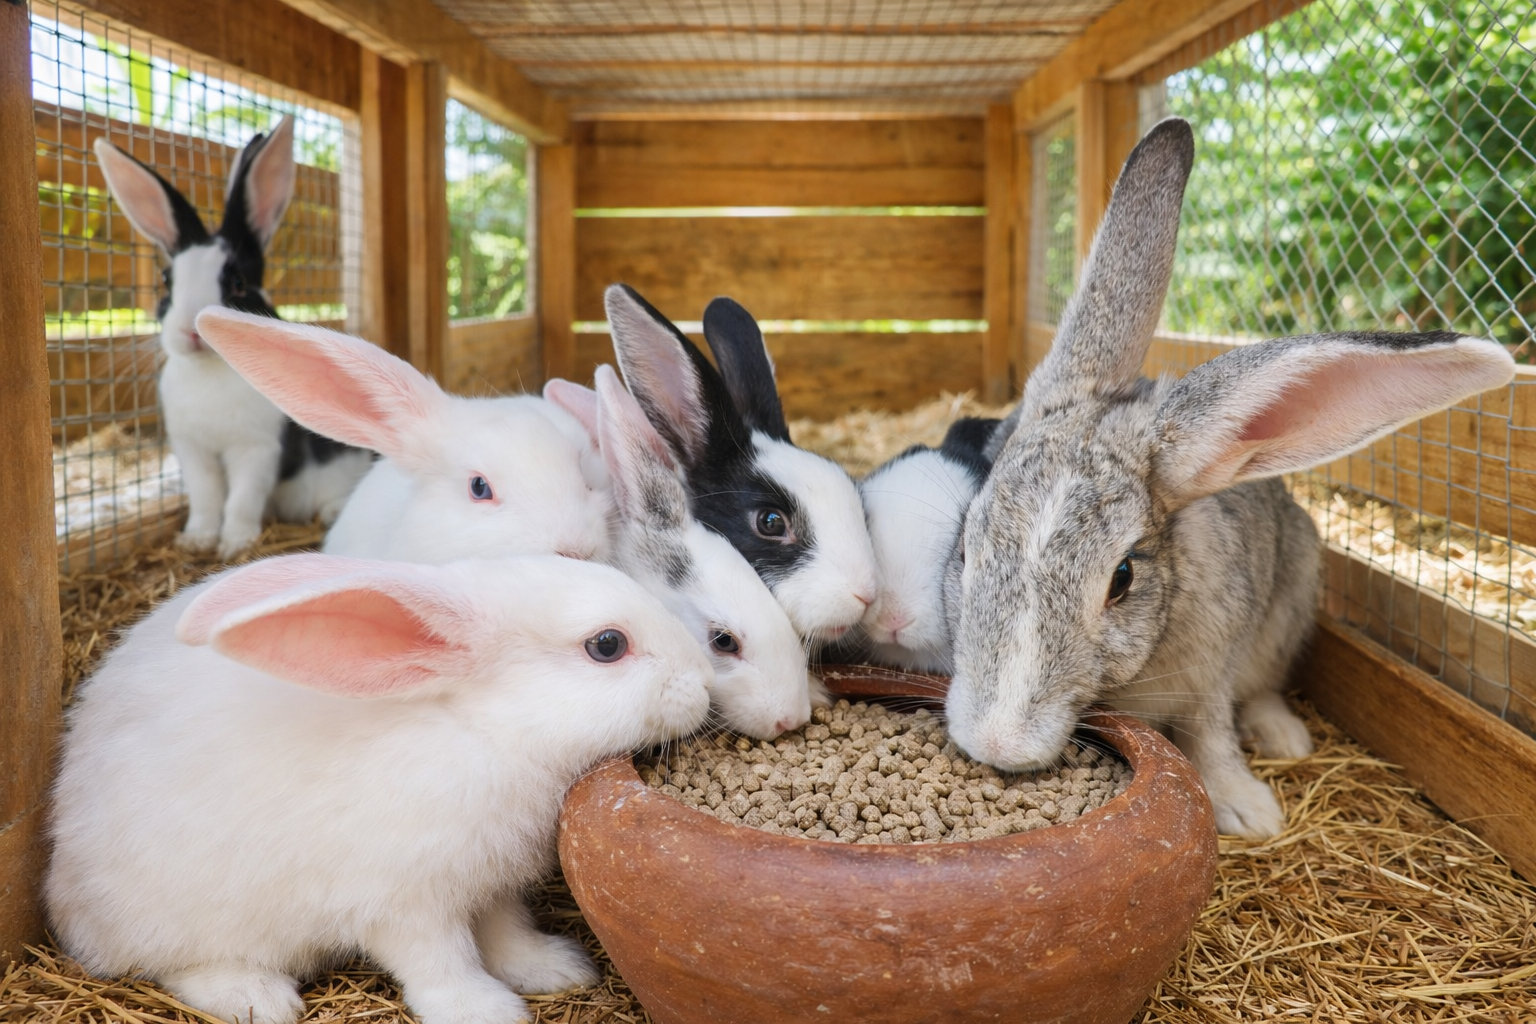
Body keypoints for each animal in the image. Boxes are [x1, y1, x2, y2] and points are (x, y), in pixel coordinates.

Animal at [45, 551, 712, 1024]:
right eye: (607, 645)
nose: (705, 683)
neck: (480, 730)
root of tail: (64, 898)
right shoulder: (405, 904)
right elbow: (440, 962)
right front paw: (485, 1011)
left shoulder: (490, 887)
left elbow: (507, 934)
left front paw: (553, 969)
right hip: (195, 917)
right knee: (179, 965)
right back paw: (258, 998)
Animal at [93, 118, 372, 559]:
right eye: (167, 281)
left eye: (238, 282)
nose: (191, 329)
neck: (210, 371)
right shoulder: (193, 451)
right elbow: (206, 498)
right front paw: (197, 540)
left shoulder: (256, 450)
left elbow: (241, 499)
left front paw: (234, 545)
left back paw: (330, 513)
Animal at [941, 117, 1517, 840]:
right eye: (967, 548)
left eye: (1122, 578)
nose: (997, 742)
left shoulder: (1212, 674)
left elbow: (1210, 734)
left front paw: (1248, 810)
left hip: (1290, 606)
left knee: (1263, 688)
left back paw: (1284, 737)